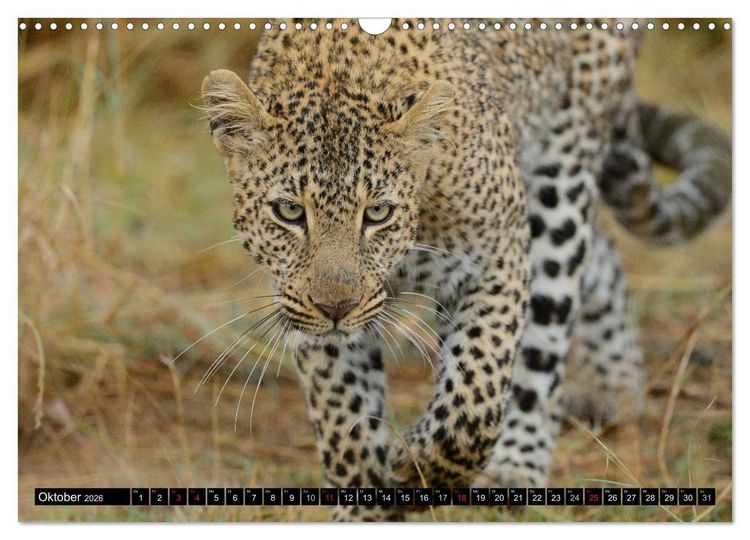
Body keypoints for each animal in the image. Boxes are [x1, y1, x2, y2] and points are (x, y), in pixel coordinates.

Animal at [200, 18, 731, 521]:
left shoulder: (499, 254)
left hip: (561, 171)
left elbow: (477, 390)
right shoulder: (304, 305)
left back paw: (519, 463)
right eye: (290, 212)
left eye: (377, 213)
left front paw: (414, 468)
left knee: (547, 332)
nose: (336, 307)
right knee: (601, 251)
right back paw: (615, 385)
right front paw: (365, 506)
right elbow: (344, 415)